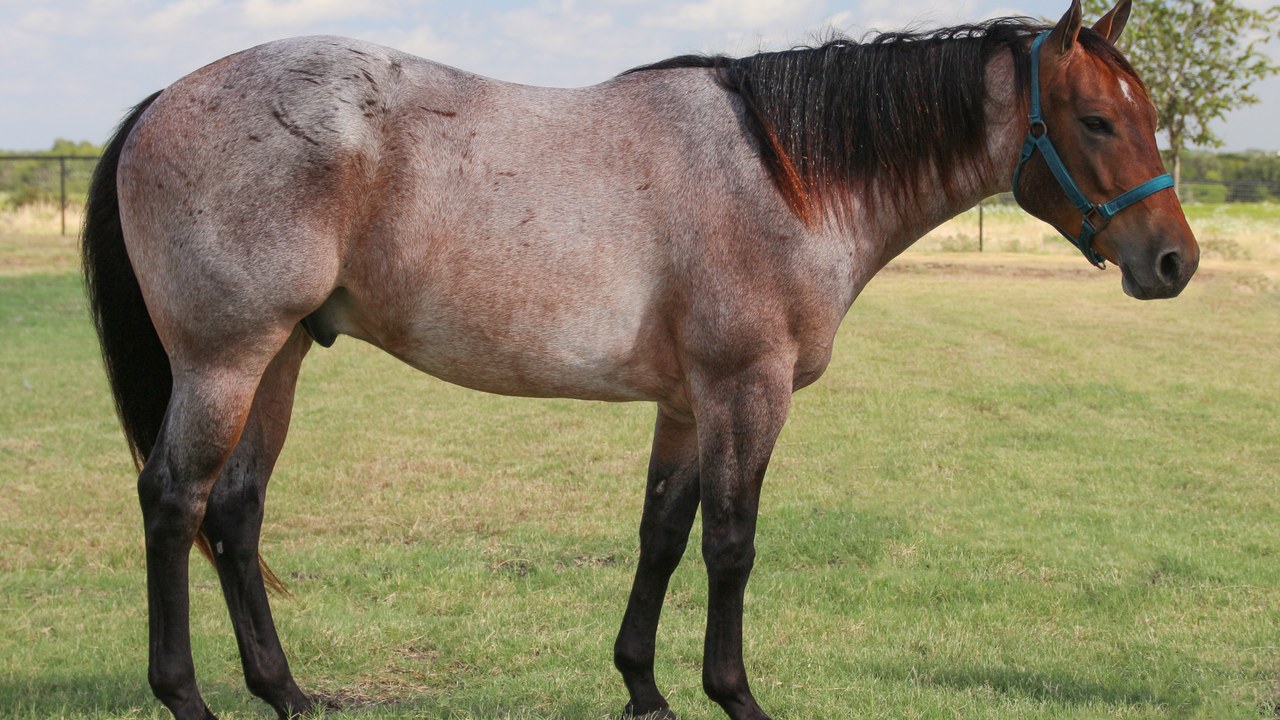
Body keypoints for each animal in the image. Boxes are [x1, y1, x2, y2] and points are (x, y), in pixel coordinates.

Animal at [81, 1, 1197, 718]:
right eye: (1096, 120)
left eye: (1146, 116)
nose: (1173, 261)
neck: (782, 177)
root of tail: (166, 97)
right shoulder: (746, 391)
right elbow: (731, 544)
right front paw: (734, 696)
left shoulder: (687, 402)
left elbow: (661, 536)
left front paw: (644, 690)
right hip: (225, 360)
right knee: (174, 501)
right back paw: (187, 698)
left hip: (277, 359)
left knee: (234, 513)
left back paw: (287, 693)